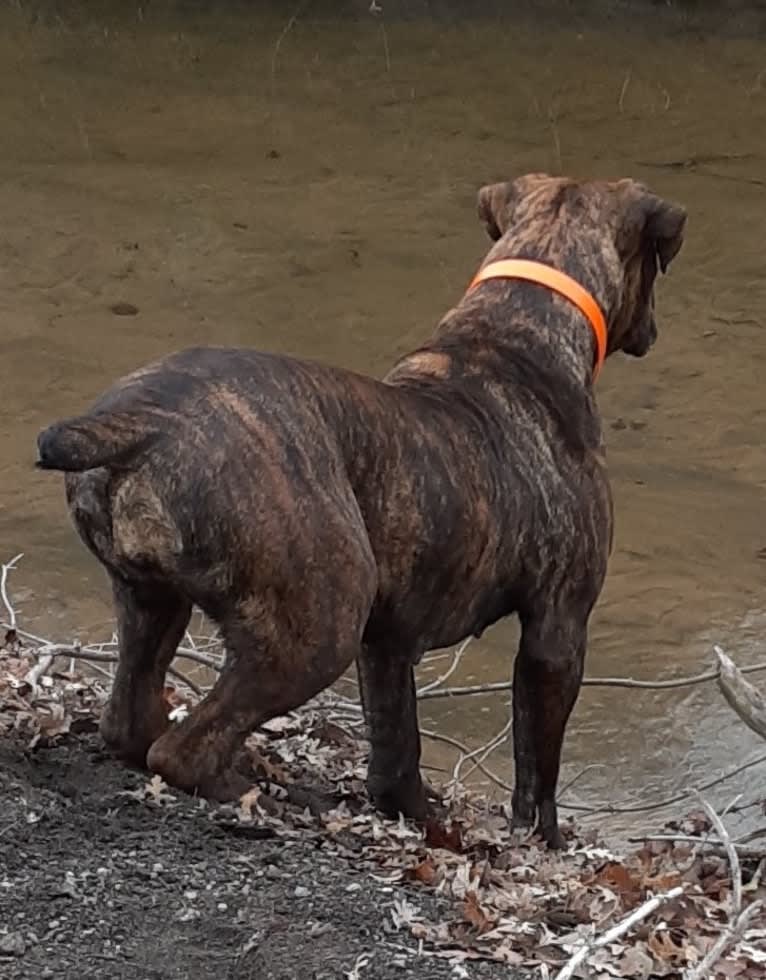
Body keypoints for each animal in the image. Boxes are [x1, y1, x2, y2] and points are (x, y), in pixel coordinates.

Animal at [34, 172, 688, 848]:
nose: (653, 330)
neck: (513, 334)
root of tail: (144, 423)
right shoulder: (556, 631)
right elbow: (537, 771)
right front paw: (542, 842)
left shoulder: (389, 640)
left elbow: (397, 748)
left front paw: (417, 817)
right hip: (317, 631)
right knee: (181, 750)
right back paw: (255, 795)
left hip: (152, 603)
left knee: (132, 725)